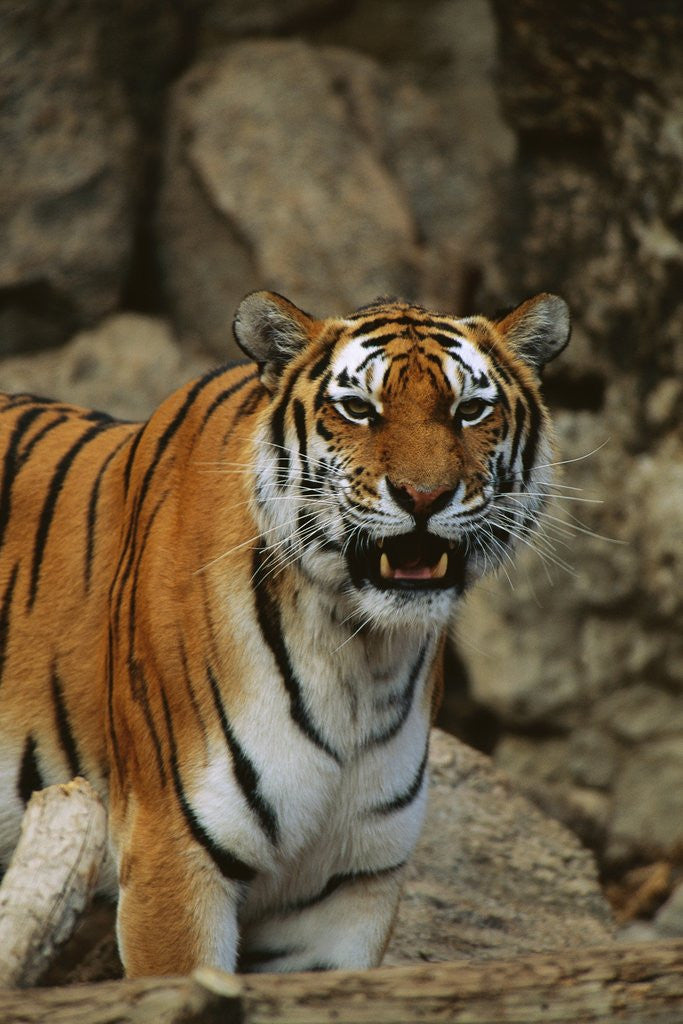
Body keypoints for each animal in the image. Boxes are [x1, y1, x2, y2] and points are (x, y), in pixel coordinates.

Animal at [0, 289, 570, 977]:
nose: (424, 496)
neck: (360, 655)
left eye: (470, 411)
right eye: (358, 409)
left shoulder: (346, 891)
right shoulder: (173, 852)